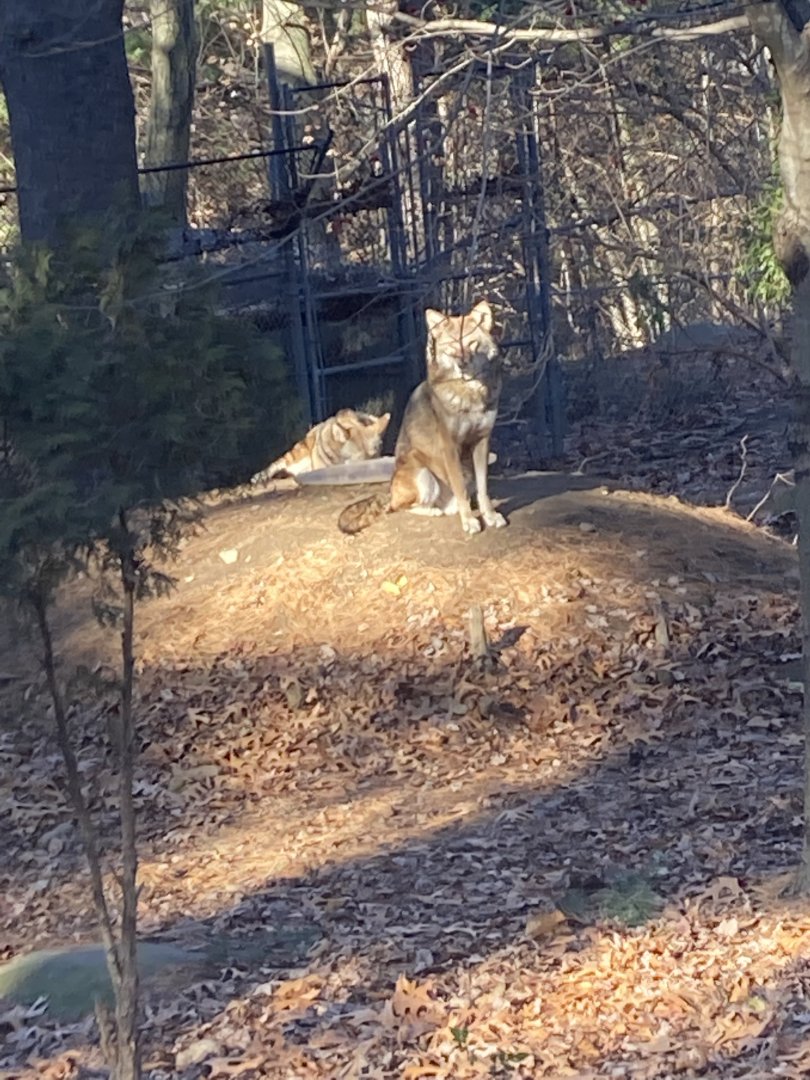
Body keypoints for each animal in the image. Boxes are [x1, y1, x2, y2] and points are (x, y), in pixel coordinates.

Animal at [338, 300, 506, 537]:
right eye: (452, 345)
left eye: (471, 342)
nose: (462, 364)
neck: (470, 393)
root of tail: (389, 491)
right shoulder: (450, 447)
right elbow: (461, 490)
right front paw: (469, 521)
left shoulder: (482, 442)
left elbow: (483, 490)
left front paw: (490, 516)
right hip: (423, 476)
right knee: (401, 507)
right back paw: (434, 511)